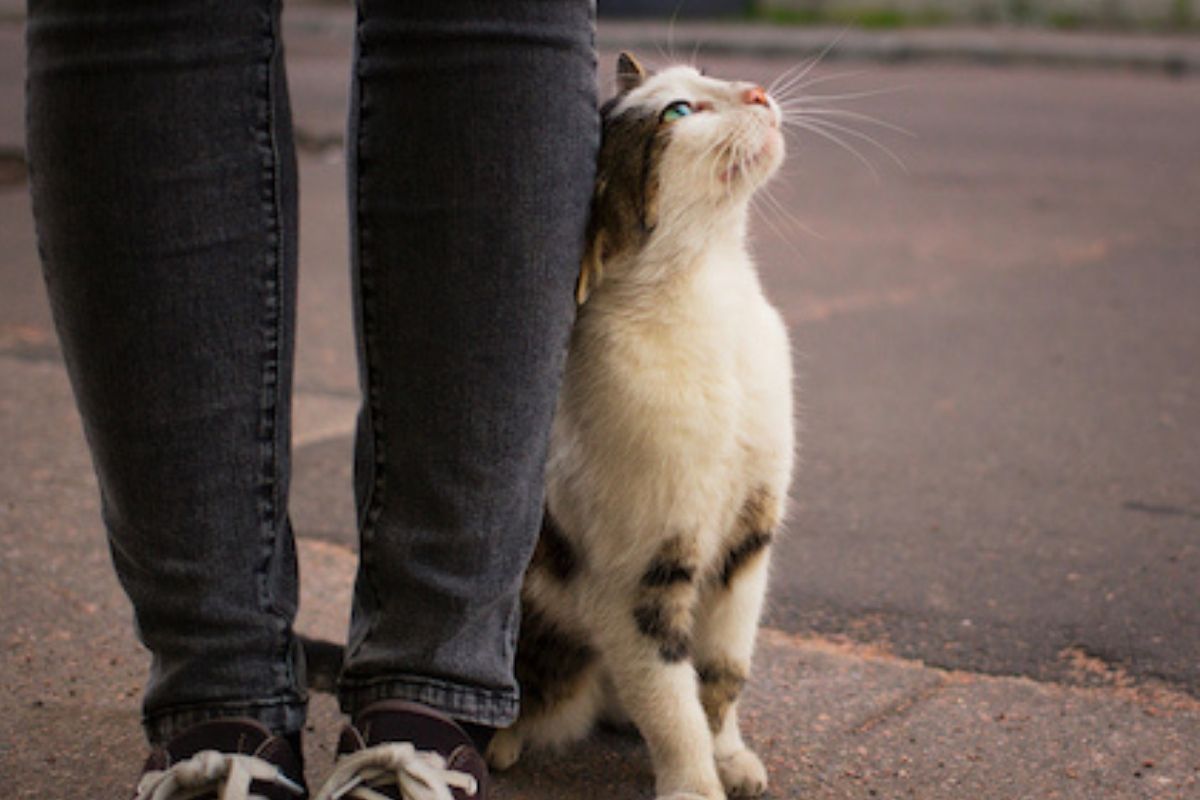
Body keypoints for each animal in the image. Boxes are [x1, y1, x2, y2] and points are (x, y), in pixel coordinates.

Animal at [482, 51, 792, 800]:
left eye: (701, 73)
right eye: (677, 113)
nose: (757, 90)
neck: (711, 297)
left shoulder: (749, 541)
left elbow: (723, 672)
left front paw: (731, 755)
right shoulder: (635, 580)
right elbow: (669, 701)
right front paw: (696, 784)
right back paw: (502, 739)